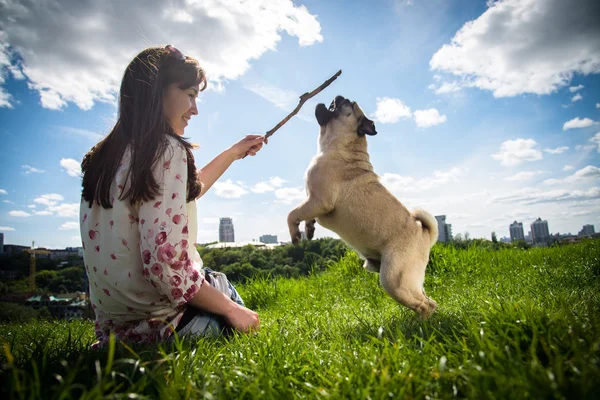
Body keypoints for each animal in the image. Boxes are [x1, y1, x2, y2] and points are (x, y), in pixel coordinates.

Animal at [288, 95, 438, 318]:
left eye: (344, 105)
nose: (339, 96)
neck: (340, 146)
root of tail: (425, 234)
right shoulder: (312, 201)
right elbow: (305, 215)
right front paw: (309, 229)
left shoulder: (319, 201)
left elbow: (292, 214)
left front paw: (295, 234)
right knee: (429, 301)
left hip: (393, 280)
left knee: (424, 305)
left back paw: (422, 325)